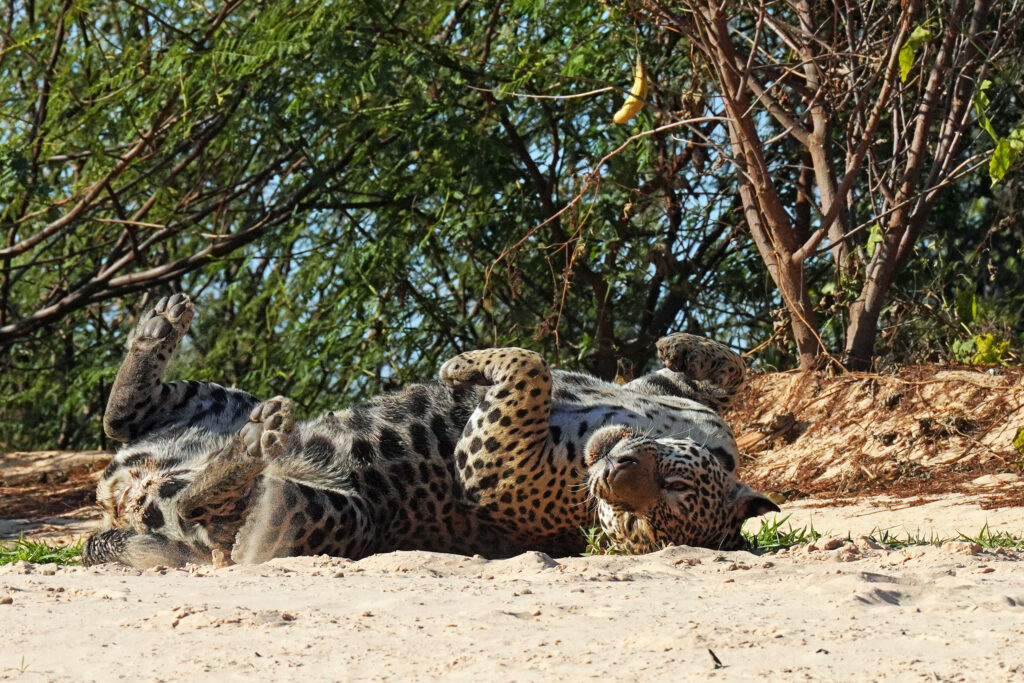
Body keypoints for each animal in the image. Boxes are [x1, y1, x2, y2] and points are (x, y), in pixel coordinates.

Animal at [83, 292, 777, 568]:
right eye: (671, 481)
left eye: (648, 524)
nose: (617, 476)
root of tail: (118, 502)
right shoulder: (675, 403)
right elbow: (732, 371)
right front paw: (685, 345)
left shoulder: (493, 463)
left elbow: (529, 368)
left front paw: (462, 366)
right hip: (217, 401)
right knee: (123, 416)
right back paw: (158, 328)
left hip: (337, 515)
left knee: (213, 515)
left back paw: (255, 452)